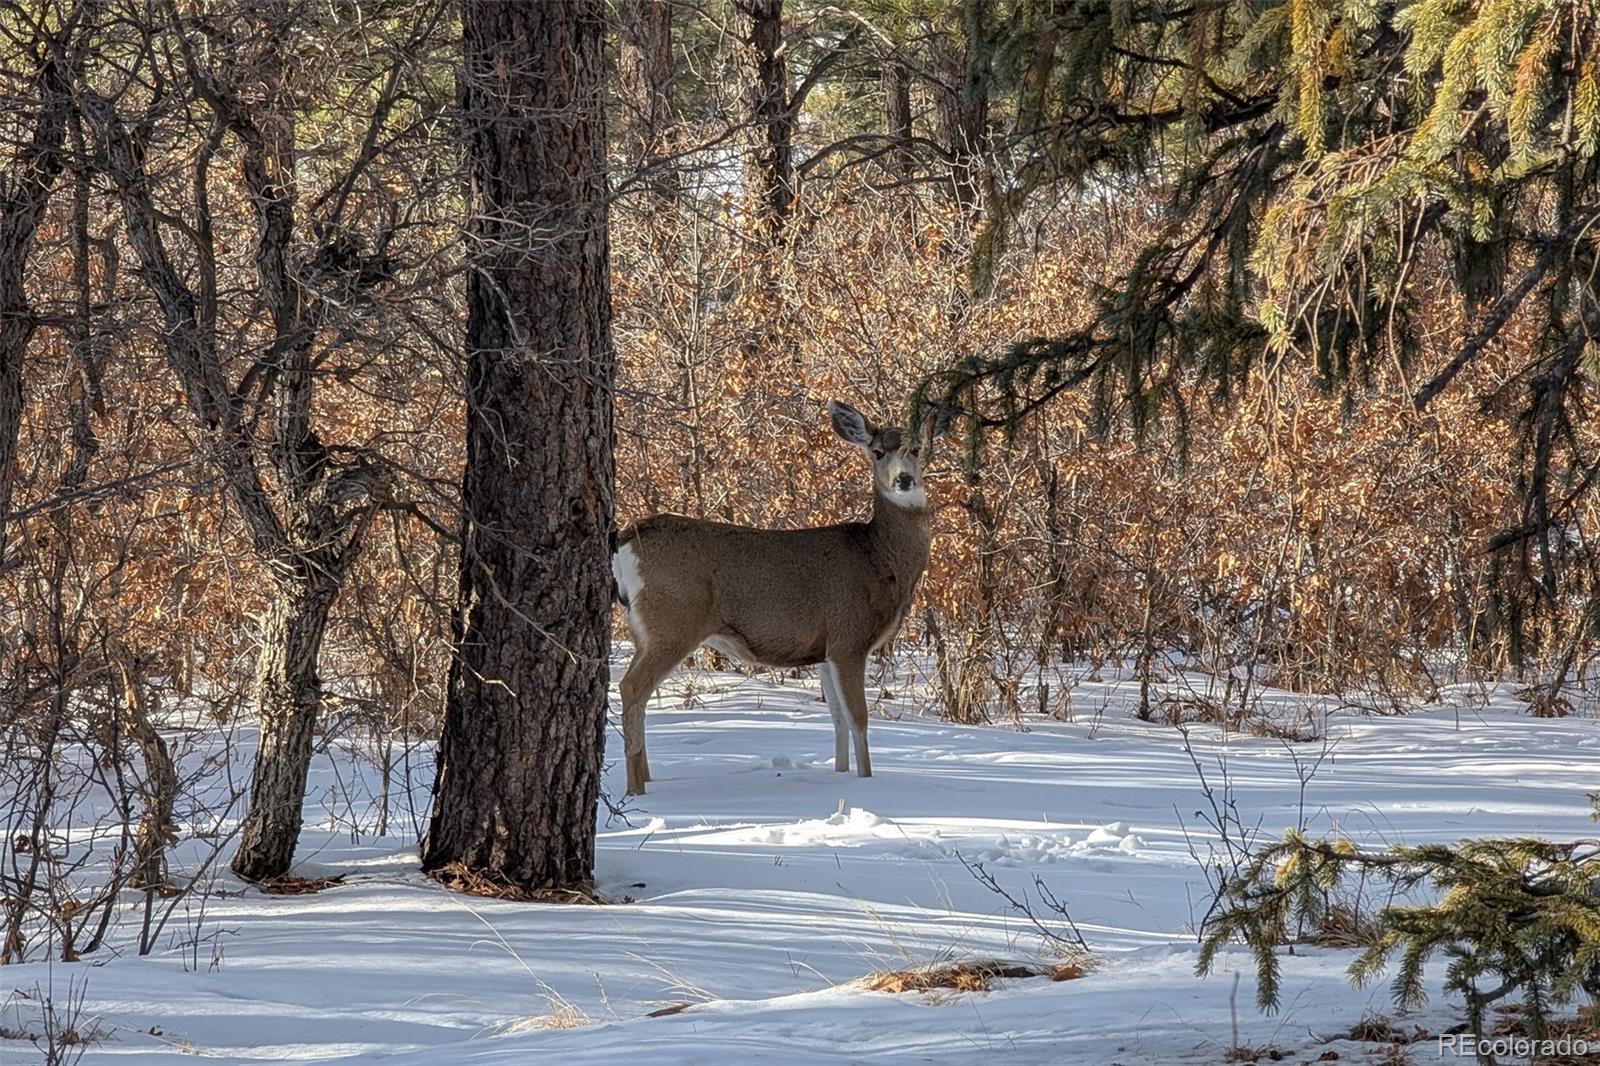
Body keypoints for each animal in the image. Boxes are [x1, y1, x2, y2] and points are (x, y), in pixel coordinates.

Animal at [604, 398, 940, 787]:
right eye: (877, 452)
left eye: (916, 448)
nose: (904, 479)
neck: (879, 557)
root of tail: (625, 540)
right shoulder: (848, 638)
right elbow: (859, 720)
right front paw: (866, 781)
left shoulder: (824, 651)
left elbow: (838, 721)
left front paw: (841, 775)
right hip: (673, 620)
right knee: (631, 688)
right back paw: (637, 788)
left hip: (644, 629)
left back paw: (648, 779)